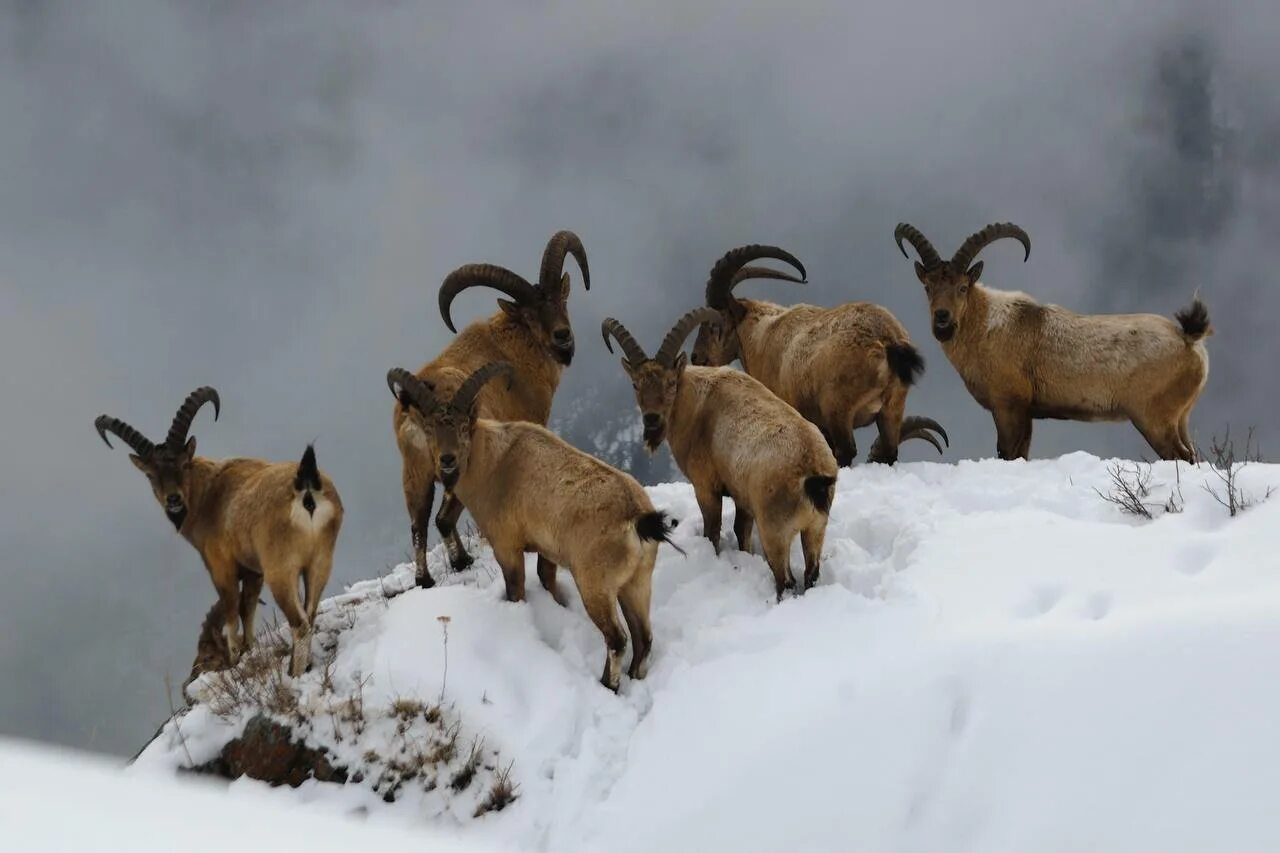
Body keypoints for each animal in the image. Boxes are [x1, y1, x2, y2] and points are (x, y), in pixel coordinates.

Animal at [384, 361, 675, 686]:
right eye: (430, 429)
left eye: (462, 427)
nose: (447, 460)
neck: (492, 462)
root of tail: (636, 517)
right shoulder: (548, 550)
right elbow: (546, 578)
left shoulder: (506, 546)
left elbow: (516, 589)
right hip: (637, 582)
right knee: (643, 637)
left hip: (595, 586)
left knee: (617, 639)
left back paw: (606, 685)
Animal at [606, 306, 839, 596]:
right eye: (636, 384)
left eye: (671, 382)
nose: (651, 419)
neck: (695, 403)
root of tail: (812, 473)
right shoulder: (742, 497)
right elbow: (741, 531)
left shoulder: (706, 486)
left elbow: (713, 531)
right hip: (816, 527)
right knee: (811, 573)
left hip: (775, 530)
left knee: (785, 580)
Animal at [691, 242, 952, 466]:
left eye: (715, 324)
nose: (697, 357)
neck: (763, 335)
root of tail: (886, 338)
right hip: (892, 407)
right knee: (888, 450)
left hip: (837, 408)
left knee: (845, 451)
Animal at [890, 219, 1208, 458]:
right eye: (928, 286)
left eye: (963, 287)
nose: (942, 318)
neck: (986, 327)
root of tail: (1189, 339)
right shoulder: (1027, 412)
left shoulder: (1008, 405)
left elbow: (1008, 452)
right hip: (1181, 418)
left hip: (1154, 418)